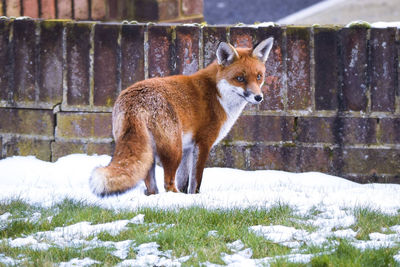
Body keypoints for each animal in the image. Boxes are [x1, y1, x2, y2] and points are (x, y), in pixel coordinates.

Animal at [89, 36, 274, 197]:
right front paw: (194, 199)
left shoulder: (188, 147)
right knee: (168, 184)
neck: (218, 94)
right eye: (240, 78)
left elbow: (184, 181)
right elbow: (195, 181)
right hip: (173, 149)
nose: (258, 97)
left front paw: (187, 199)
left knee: (152, 186)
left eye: (259, 77)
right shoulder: (203, 143)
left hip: (152, 152)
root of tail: (134, 99)